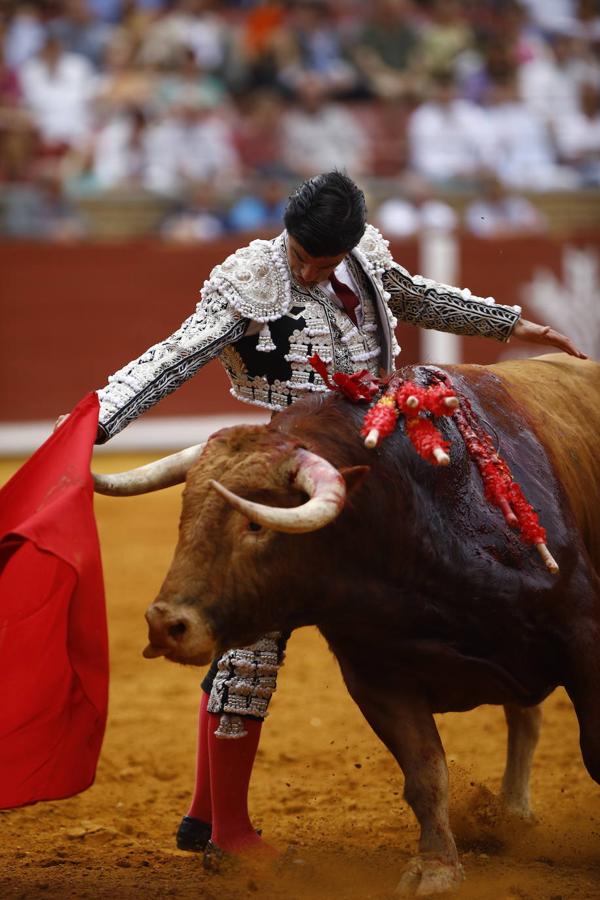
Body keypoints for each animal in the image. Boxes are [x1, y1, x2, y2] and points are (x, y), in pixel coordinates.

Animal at [96, 356, 600, 896]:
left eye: (256, 523)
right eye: (186, 512)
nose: (166, 624)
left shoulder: (583, 636)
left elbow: (592, 750)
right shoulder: (377, 678)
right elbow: (426, 774)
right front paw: (436, 867)